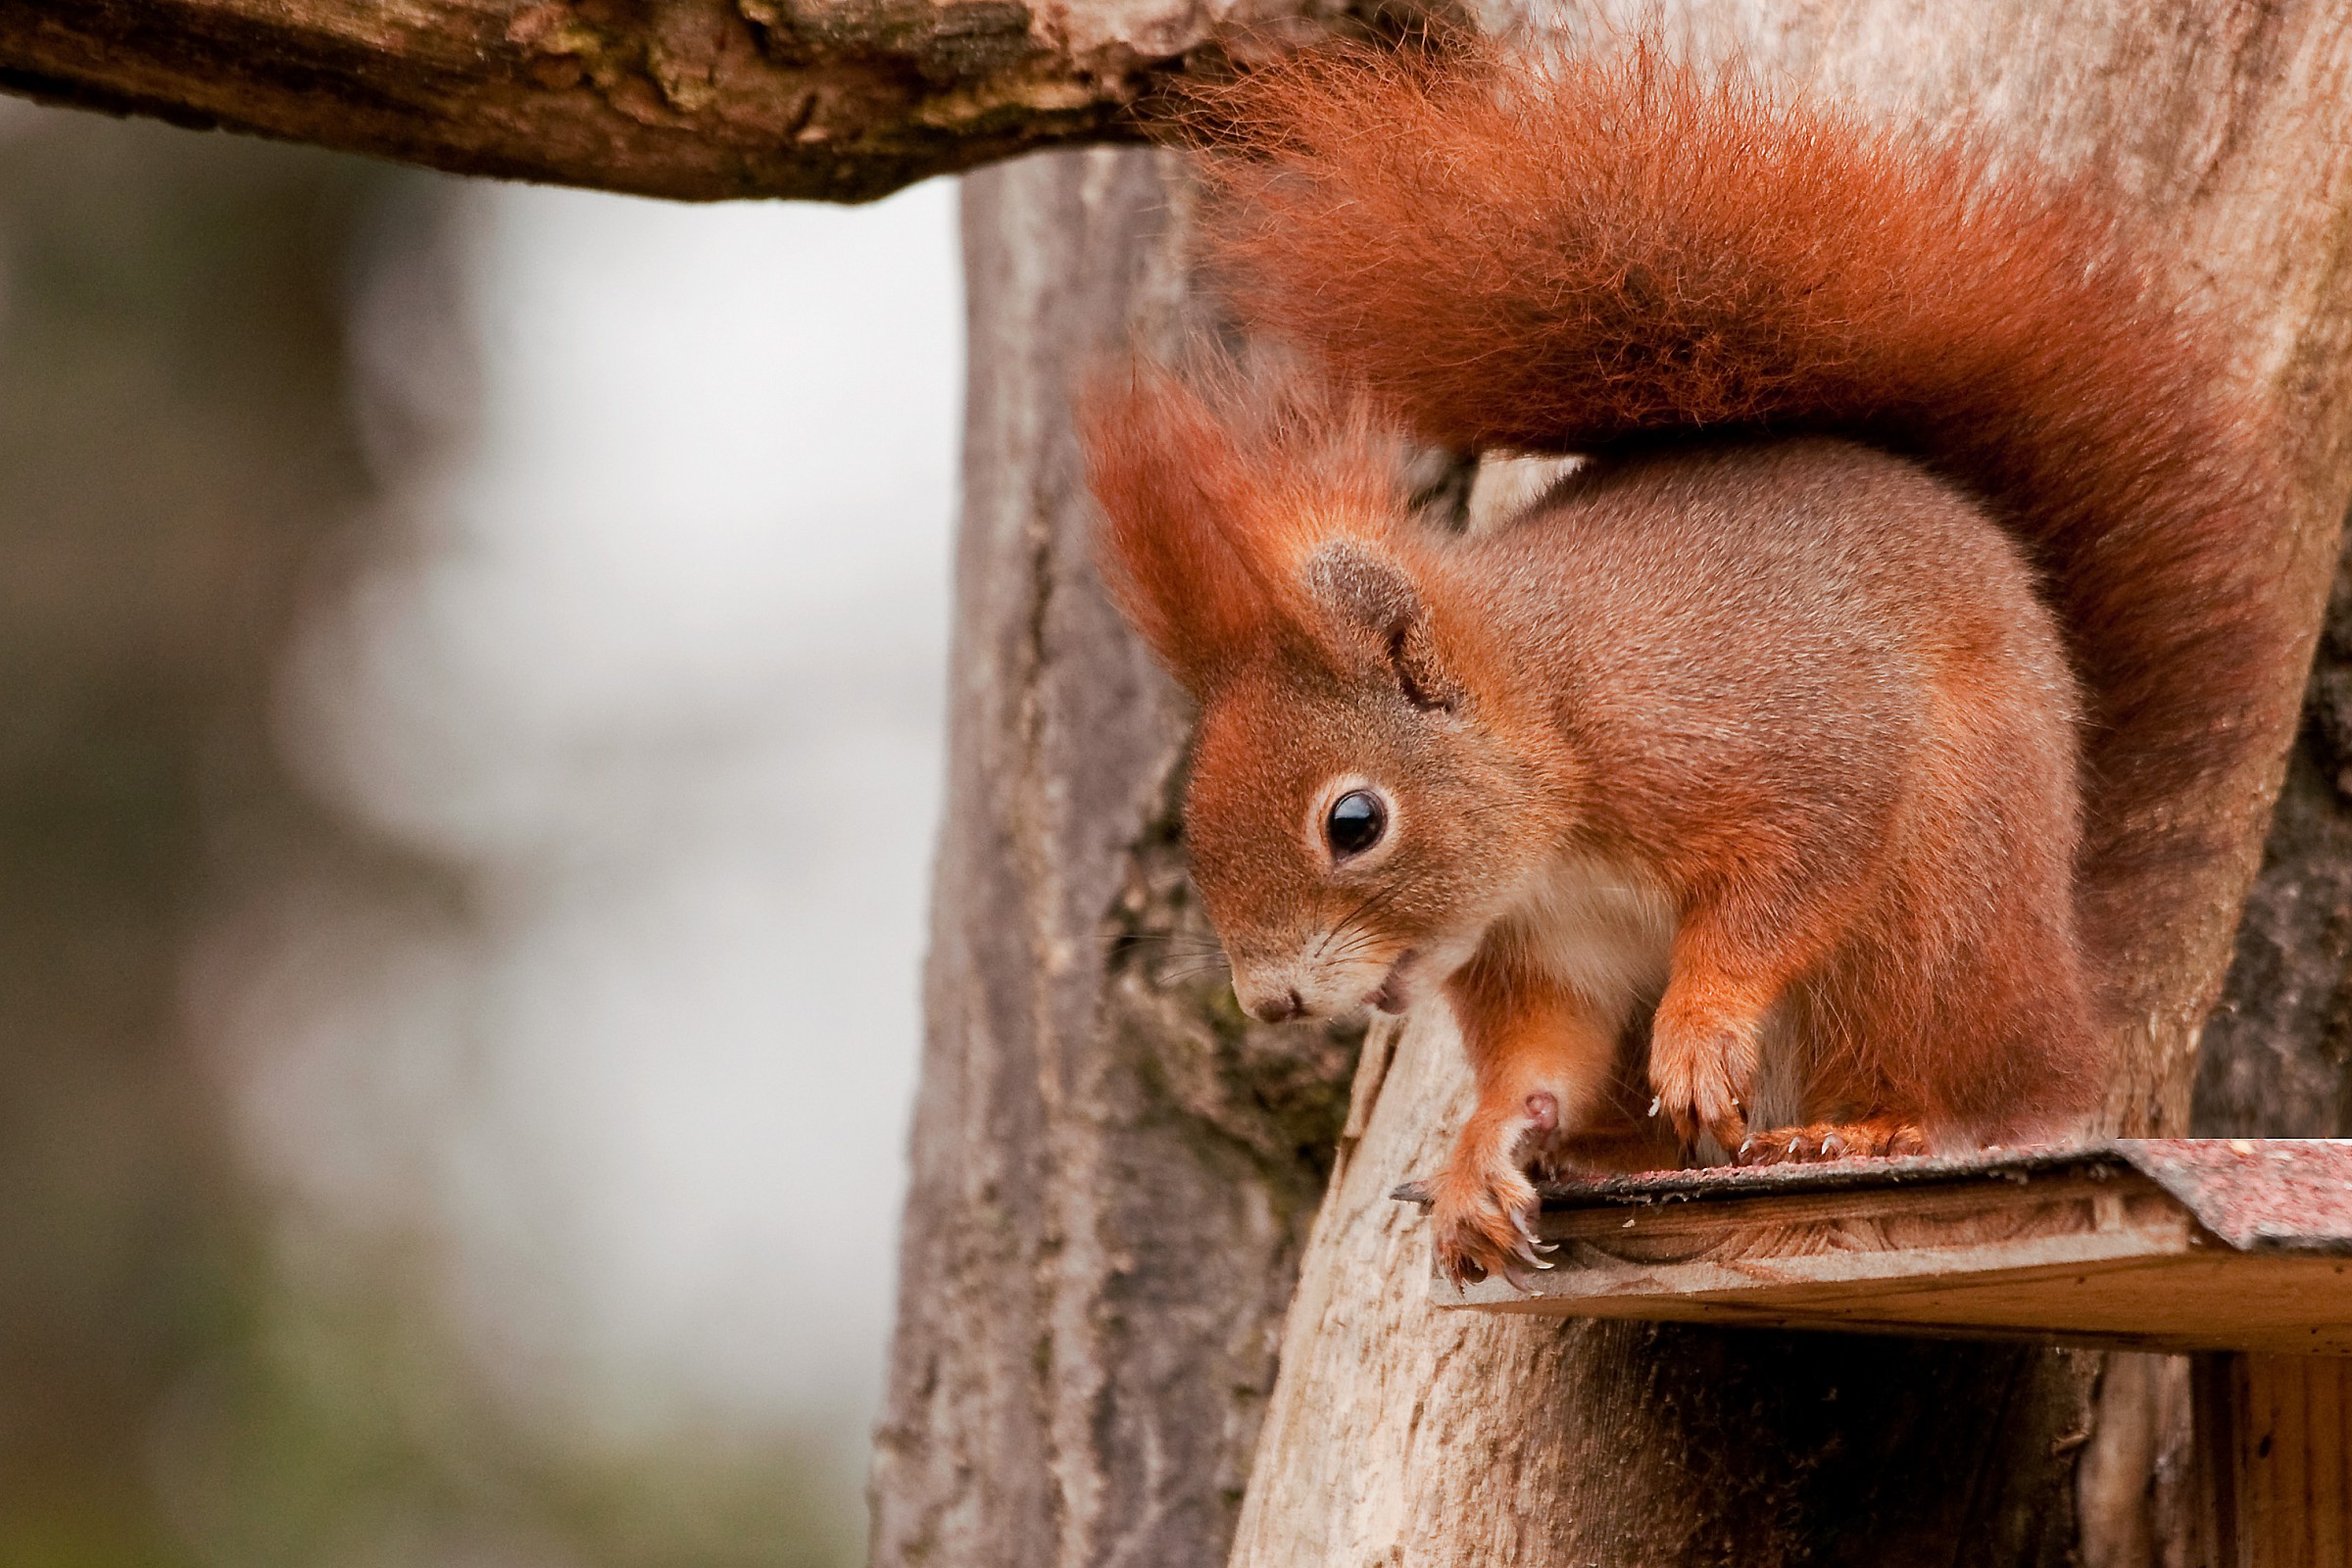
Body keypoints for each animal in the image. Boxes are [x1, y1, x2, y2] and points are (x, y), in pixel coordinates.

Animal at [1082, 37, 2289, 1287]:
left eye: (1354, 822)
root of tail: (2063, 996)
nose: (1269, 1002)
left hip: (1939, 905)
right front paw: (1480, 1155)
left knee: (1958, 1086)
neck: (1553, 749)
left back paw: (1864, 1127)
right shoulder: (1541, 954)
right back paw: (1604, 1150)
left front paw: (1704, 1031)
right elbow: (1538, 1058)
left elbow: (1788, 875)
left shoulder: (1757, 746)